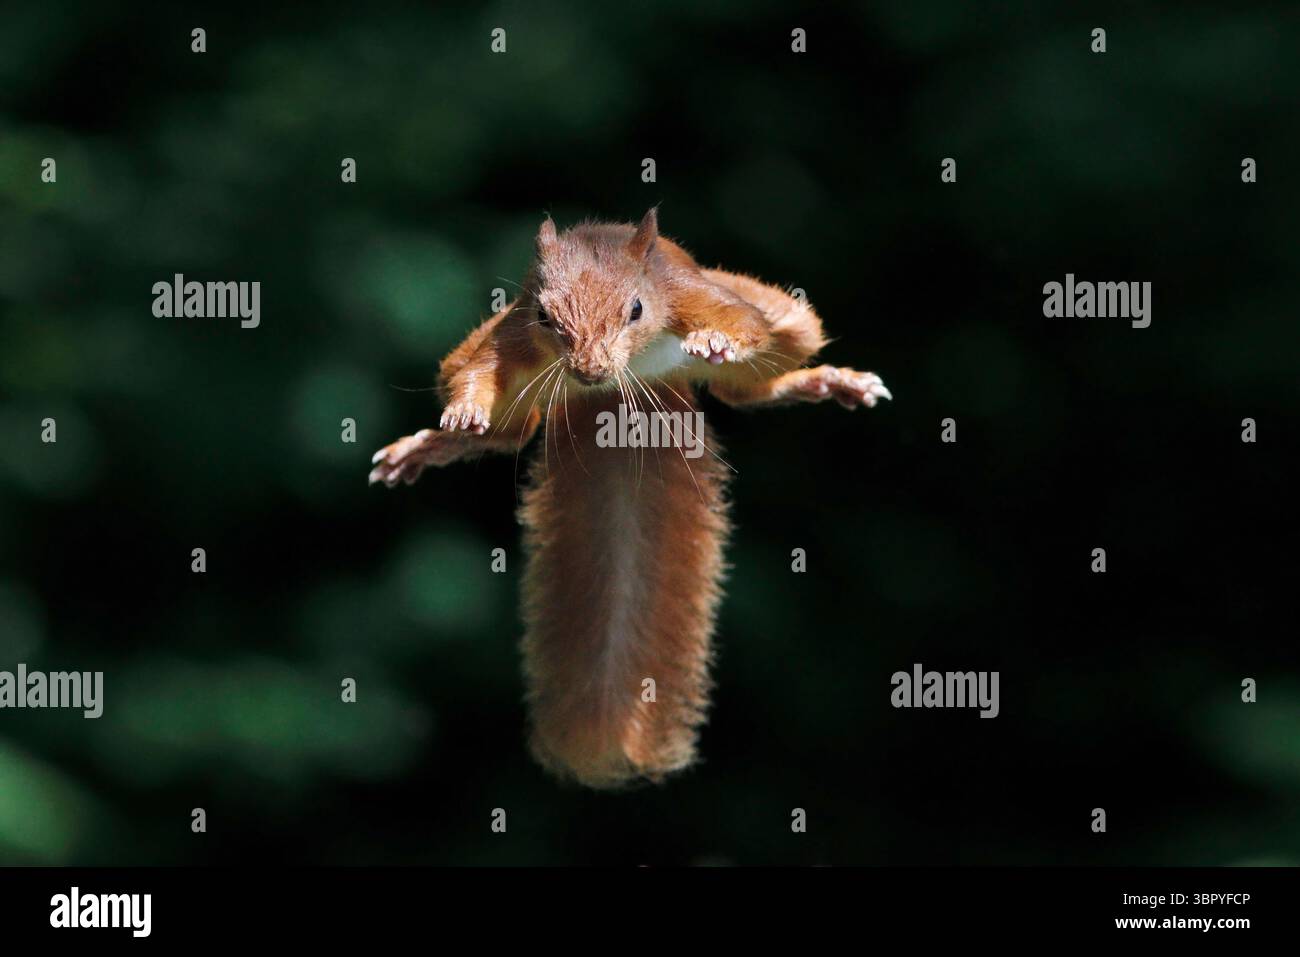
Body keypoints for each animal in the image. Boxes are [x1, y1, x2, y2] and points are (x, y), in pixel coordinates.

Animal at [369, 209, 890, 789]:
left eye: (637, 308)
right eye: (545, 316)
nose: (588, 369)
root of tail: (616, 393)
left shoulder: (690, 294)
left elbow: (744, 324)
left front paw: (718, 341)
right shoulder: (514, 334)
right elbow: (477, 373)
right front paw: (463, 413)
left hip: (787, 319)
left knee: (751, 380)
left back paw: (825, 382)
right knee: (508, 431)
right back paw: (433, 445)